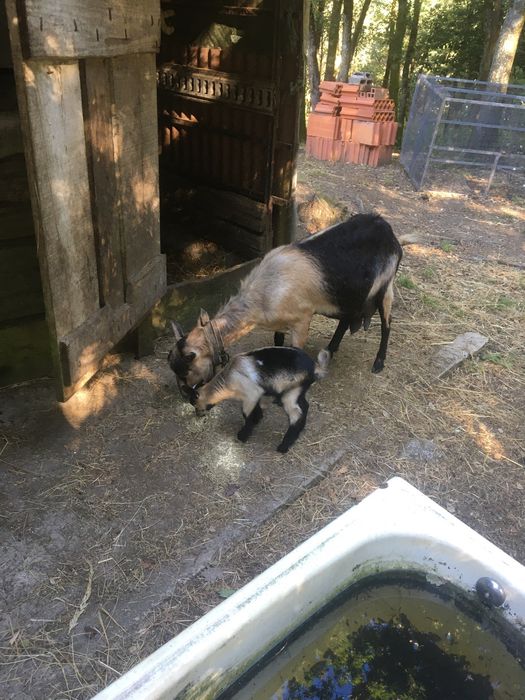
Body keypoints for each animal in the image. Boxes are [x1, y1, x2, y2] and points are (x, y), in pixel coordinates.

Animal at [169, 213, 412, 394]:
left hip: (385, 287)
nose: (186, 395)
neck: (264, 294)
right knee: (345, 320)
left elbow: (296, 350)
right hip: (349, 297)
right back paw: (331, 348)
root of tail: (390, 233)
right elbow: (278, 341)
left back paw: (378, 363)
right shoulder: (281, 320)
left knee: (387, 323)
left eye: (186, 369)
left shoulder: (303, 319)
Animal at [190, 347, 330, 453]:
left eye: (195, 405)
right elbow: (257, 408)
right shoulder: (257, 394)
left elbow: (246, 414)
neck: (228, 379)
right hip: (298, 391)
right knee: (305, 406)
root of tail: (315, 367)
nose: (198, 415)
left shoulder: (251, 394)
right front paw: (257, 419)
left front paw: (243, 435)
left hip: (290, 394)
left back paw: (283, 446)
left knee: (296, 414)